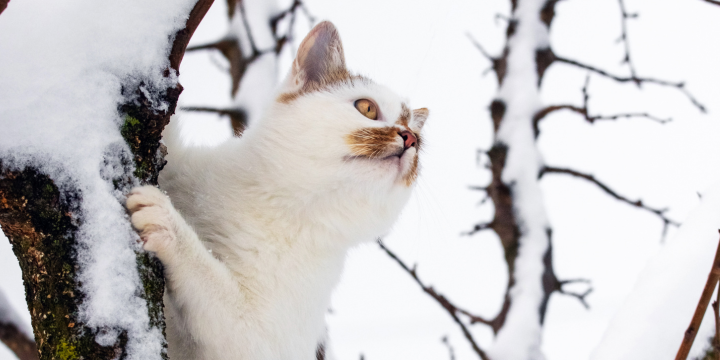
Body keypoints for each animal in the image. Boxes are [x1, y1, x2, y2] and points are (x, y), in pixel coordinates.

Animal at [125, 21, 428, 358]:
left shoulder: (269, 338)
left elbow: (212, 284)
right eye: (367, 108)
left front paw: (168, 224)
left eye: (419, 138)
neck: (277, 205)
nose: (410, 139)